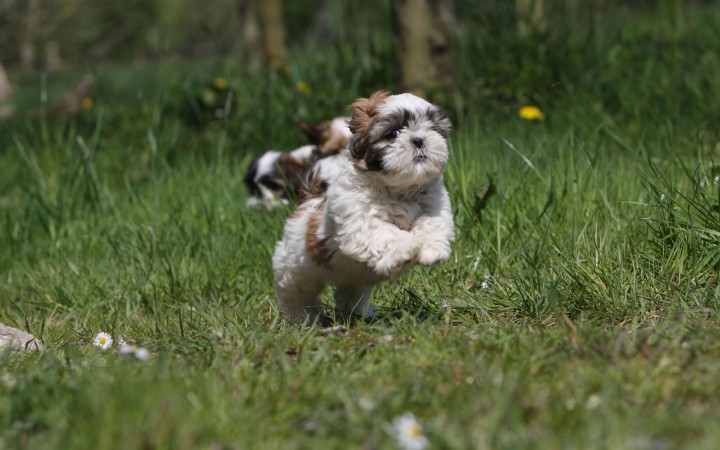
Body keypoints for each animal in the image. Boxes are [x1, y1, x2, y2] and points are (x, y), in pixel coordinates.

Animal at [272, 91, 452, 322]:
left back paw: (359, 313)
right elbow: (386, 232)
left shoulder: (434, 205)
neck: (399, 190)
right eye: (393, 133)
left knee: (350, 291)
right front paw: (405, 249)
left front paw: (432, 250)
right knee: (294, 289)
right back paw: (303, 318)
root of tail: (308, 199)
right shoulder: (360, 219)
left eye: (432, 128)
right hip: (298, 265)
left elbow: (432, 223)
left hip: (352, 277)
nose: (419, 139)